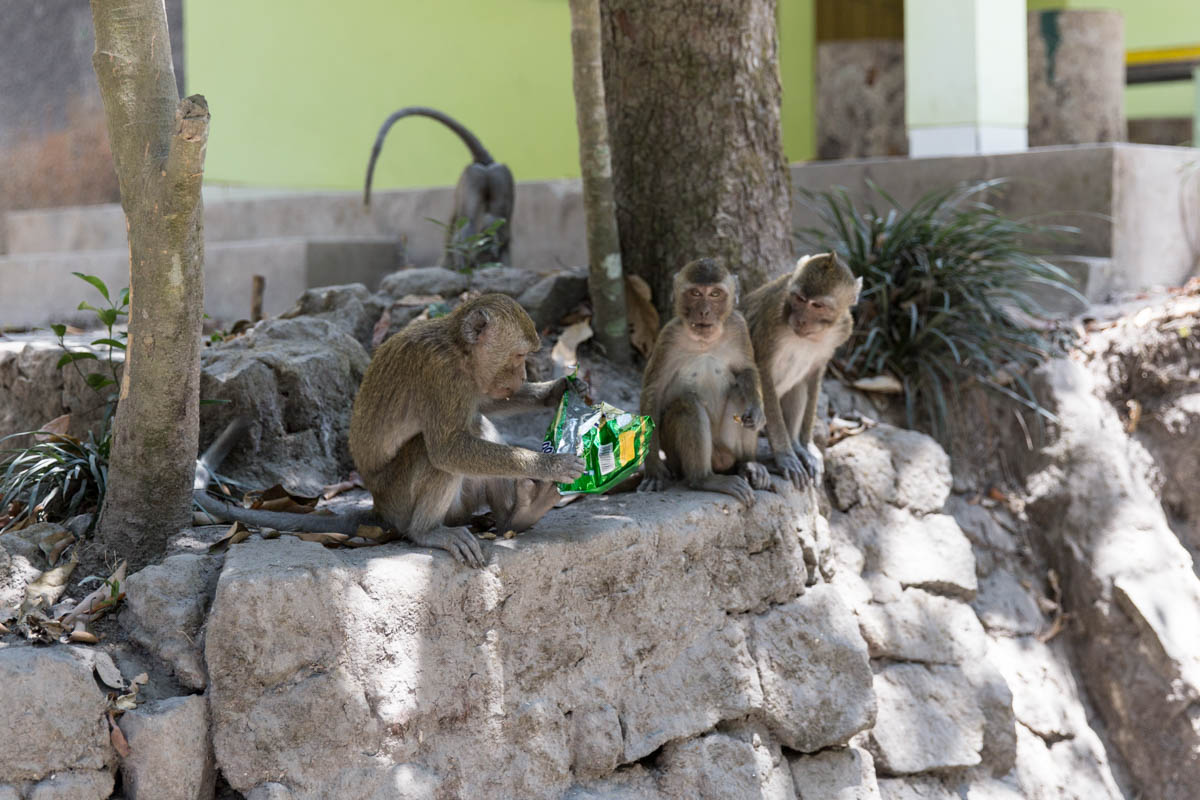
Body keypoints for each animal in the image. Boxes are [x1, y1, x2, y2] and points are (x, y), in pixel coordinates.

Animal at [194, 296, 583, 568]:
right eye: (518, 356)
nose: (523, 376)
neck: (459, 349)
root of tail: (380, 508)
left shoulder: (472, 380)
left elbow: (487, 403)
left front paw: (558, 390)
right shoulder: (441, 374)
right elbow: (446, 449)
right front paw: (552, 465)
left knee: (479, 424)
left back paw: (517, 515)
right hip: (400, 500)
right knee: (434, 451)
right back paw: (429, 532)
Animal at [364, 106, 516, 272]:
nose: (488, 257)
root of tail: (486, 161)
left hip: (476, 177)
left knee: (470, 220)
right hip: (500, 178)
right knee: (496, 219)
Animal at [638, 257, 768, 506]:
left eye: (715, 294)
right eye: (696, 293)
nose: (705, 311)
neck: (705, 342)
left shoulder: (738, 326)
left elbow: (746, 370)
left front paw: (757, 411)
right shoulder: (668, 337)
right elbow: (653, 393)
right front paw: (654, 470)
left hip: (727, 447)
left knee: (740, 392)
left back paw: (748, 463)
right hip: (677, 456)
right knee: (687, 405)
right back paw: (704, 479)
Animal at [744, 253, 859, 489]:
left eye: (818, 305)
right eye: (799, 299)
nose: (800, 320)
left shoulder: (842, 329)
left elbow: (814, 376)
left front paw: (807, 447)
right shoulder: (771, 322)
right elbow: (761, 371)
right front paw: (785, 455)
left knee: (798, 388)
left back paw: (796, 444)